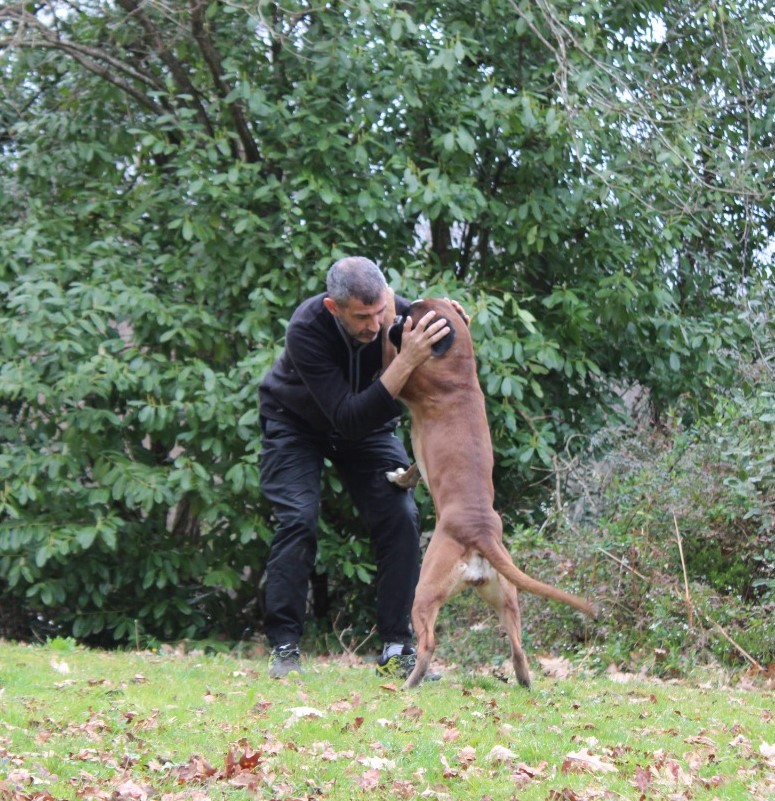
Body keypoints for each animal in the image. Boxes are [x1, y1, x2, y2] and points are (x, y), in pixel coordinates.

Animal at [386, 298, 596, 688]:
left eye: (411, 315)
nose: (396, 313)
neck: (458, 364)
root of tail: (480, 534)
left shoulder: (403, 380)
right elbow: (412, 470)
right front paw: (400, 478)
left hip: (426, 590)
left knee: (428, 641)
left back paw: (410, 683)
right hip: (506, 597)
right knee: (518, 646)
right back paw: (524, 680)